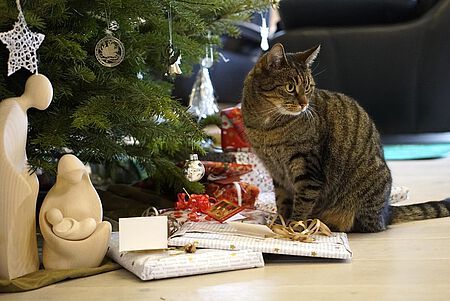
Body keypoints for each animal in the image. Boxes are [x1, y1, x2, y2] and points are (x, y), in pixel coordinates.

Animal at [243, 42, 450, 232]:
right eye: (290, 87)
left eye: (308, 88)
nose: (304, 104)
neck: (266, 126)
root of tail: (387, 212)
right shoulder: (277, 174)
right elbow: (282, 201)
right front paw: (280, 225)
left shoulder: (308, 168)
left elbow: (302, 202)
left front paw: (295, 226)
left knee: (368, 226)